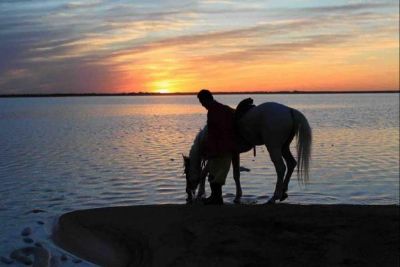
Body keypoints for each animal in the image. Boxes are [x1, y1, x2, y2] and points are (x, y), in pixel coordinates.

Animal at [184, 101, 312, 204]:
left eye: (186, 172)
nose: (188, 194)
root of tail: (289, 110)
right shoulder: (234, 154)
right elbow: (236, 175)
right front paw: (237, 196)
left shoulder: (218, 155)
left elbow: (205, 172)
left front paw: (201, 193)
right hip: (284, 147)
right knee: (291, 163)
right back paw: (283, 193)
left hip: (274, 147)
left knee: (281, 168)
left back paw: (274, 197)